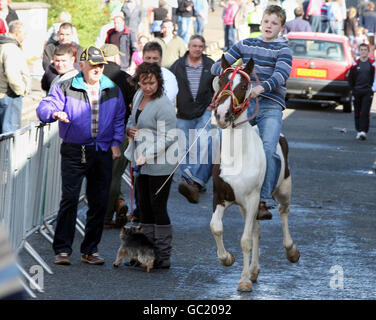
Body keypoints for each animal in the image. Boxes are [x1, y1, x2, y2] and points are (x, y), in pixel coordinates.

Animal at [209, 55, 300, 292]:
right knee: (257, 230)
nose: (222, 115)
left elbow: (245, 240)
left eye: (243, 86)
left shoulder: (252, 200)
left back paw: (291, 251)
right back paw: (254, 271)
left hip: (284, 191)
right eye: (221, 81)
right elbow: (216, 227)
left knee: (284, 214)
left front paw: (243, 281)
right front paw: (227, 259)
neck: (237, 156)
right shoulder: (221, 197)